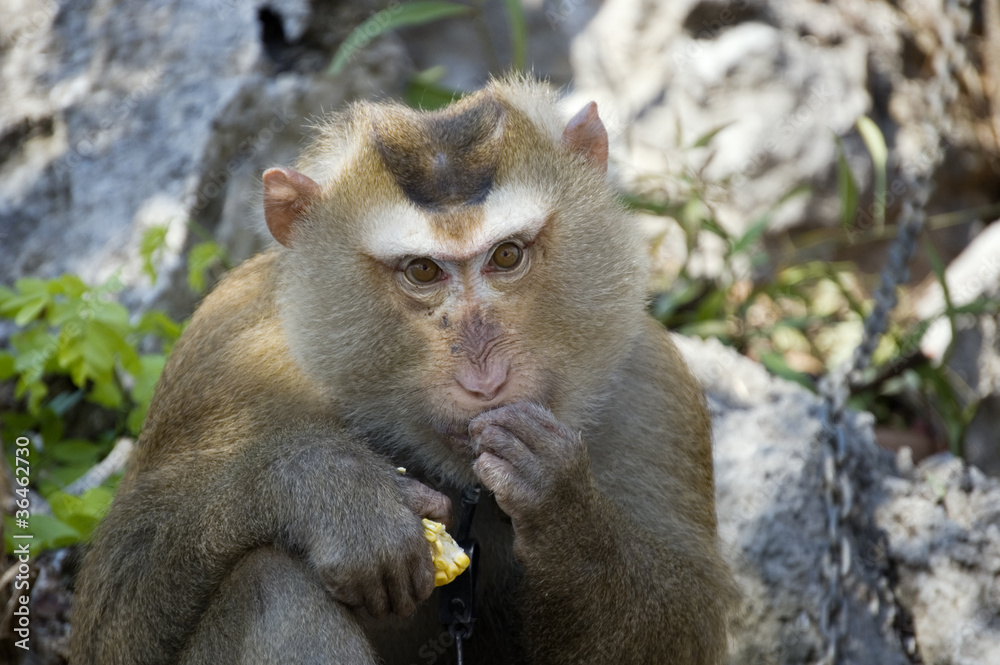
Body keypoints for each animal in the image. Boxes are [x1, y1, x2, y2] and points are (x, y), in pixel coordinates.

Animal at [70, 76, 734, 665]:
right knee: (268, 586)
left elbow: (686, 622)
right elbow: (114, 619)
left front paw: (559, 500)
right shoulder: (225, 354)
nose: (484, 381)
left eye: (506, 256)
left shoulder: (653, 390)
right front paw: (333, 488)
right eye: (422, 270)